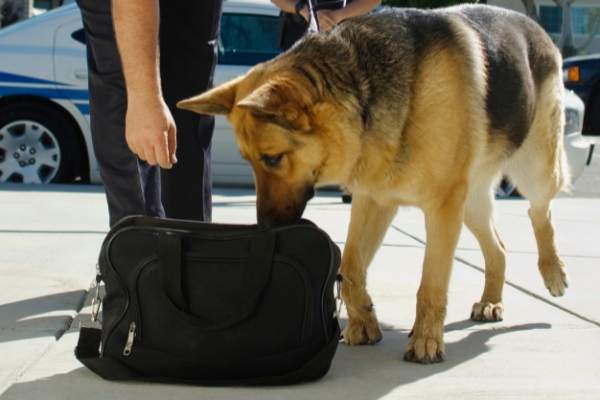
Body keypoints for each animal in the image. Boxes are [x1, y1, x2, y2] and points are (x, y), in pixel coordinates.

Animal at [177, 4, 568, 364]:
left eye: (272, 158)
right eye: (249, 161)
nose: (265, 227)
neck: (366, 91)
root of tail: (536, 27)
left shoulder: (442, 209)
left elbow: (431, 283)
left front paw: (426, 340)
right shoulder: (375, 200)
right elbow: (350, 265)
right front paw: (363, 321)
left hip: (533, 170)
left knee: (541, 211)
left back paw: (553, 271)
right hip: (470, 203)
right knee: (498, 248)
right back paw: (491, 301)